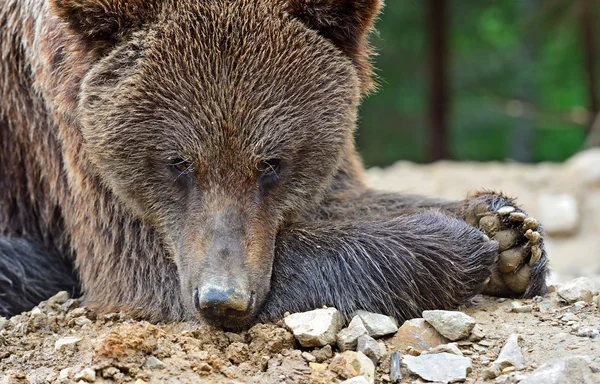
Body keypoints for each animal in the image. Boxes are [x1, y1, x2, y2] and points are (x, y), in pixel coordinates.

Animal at [0, 0, 548, 330]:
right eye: (178, 161)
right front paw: (461, 241)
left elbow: (343, 197)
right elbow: (142, 270)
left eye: (271, 163)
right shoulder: (69, 139)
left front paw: (507, 234)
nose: (222, 299)